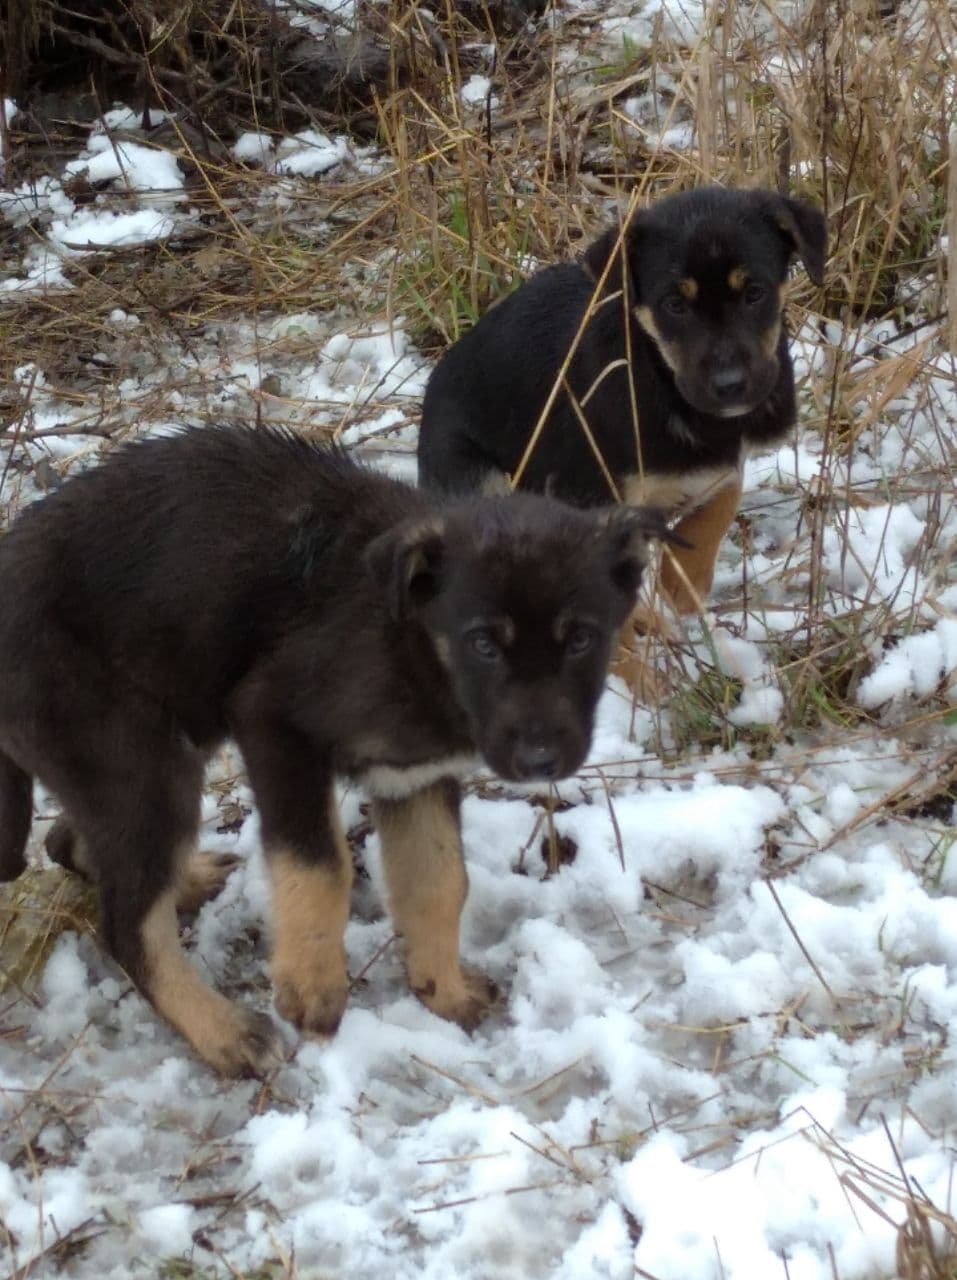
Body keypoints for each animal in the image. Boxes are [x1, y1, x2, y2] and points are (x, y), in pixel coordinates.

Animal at [0, 424, 665, 1075]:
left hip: (134, 762)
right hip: (141, 765)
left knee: (75, 846)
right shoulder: (274, 723)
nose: (538, 762)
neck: (411, 638)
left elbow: (440, 880)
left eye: (581, 639)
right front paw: (312, 989)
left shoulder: (415, 776)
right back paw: (223, 1033)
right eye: (483, 644)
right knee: (127, 923)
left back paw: (185, 884)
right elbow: (320, 867)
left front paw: (443, 990)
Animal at [419, 184, 829, 614]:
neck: (662, 382)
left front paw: (682, 591)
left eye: (754, 293)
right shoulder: (591, 498)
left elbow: (715, 510)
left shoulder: (723, 467)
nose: (730, 385)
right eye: (674, 305)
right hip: (472, 473)